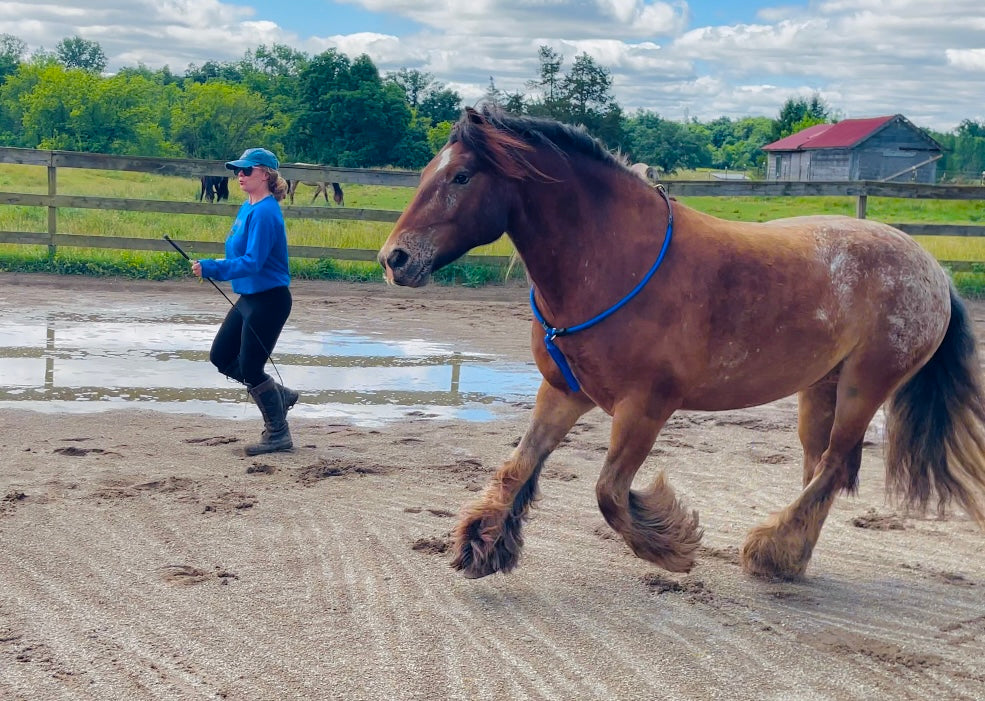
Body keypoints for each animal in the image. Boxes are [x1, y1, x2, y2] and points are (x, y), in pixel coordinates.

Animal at [374, 108, 984, 580]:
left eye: (461, 177)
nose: (393, 259)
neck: (617, 261)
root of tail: (933, 269)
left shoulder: (646, 407)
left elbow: (610, 492)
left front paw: (670, 544)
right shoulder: (562, 392)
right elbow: (517, 467)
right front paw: (482, 544)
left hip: (866, 384)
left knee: (834, 465)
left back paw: (771, 549)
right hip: (821, 388)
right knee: (823, 469)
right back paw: (791, 558)